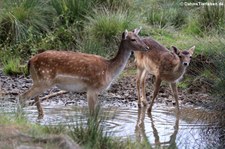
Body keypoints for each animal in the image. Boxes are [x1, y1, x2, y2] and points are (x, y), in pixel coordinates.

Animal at [19, 28, 149, 118]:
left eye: (140, 37)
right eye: (133, 39)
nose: (147, 47)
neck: (109, 70)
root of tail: (30, 61)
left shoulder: (95, 91)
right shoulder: (92, 88)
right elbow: (92, 114)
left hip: (38, 80)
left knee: (34, 99)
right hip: (43, 80)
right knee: (22, 96)